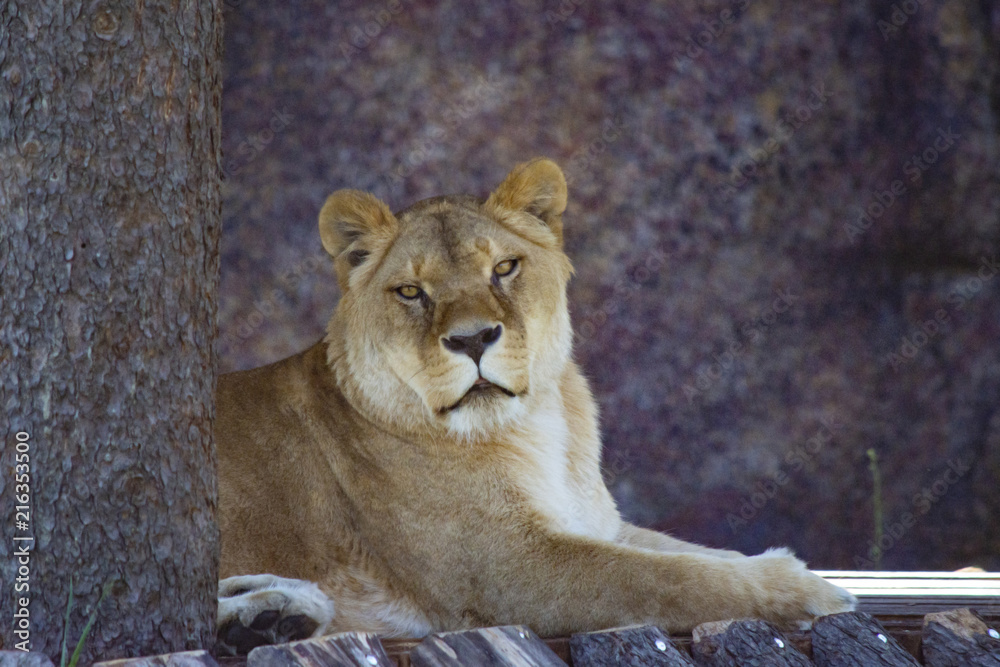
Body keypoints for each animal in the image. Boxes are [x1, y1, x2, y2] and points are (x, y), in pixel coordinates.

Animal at [214, 158, 856, 655]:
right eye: (411, 292)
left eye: (504, 267)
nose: (473, 339)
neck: (539, 427)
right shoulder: (509, 568)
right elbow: (669, 579)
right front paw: (812, 590)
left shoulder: (595, 524)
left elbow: (694, 555)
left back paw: (273, 614)